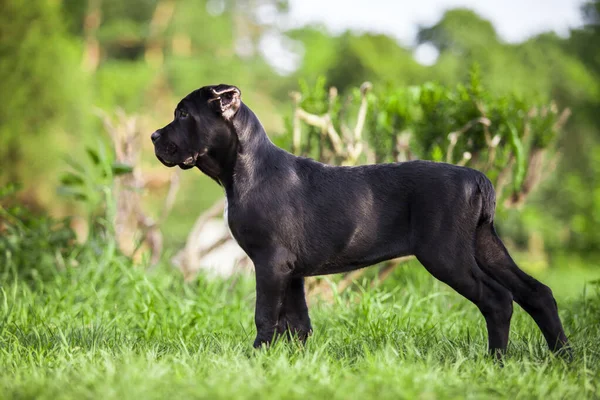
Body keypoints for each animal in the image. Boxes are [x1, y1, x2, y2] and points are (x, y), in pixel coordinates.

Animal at [152, 82, 568, 356]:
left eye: (183, 114)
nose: (155, 136)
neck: (247, 168)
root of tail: (477, 177)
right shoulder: (291, 271)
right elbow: (296, 322)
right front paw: (292, 362)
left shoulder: (270, 263)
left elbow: (266, 316)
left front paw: (256, 357)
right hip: (485, 246)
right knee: (536, 292)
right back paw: (562, 356)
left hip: (447, 255)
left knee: (497, 299)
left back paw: (496, 359)